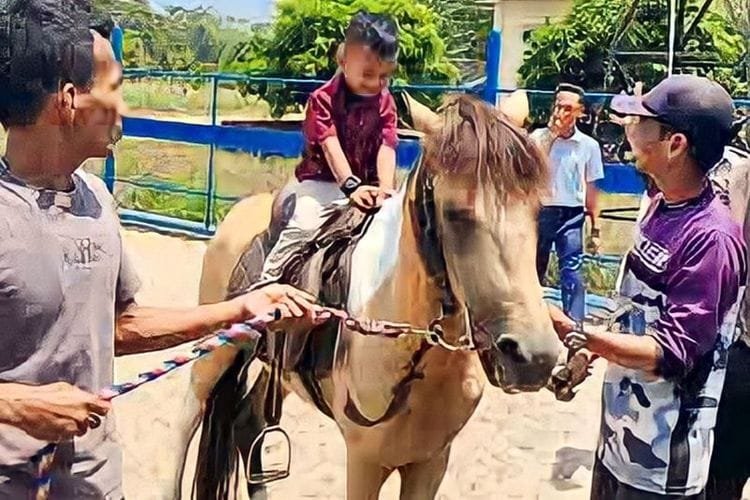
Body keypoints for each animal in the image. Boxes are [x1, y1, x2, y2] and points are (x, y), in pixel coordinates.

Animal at [175, 94, 564, 500]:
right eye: (456, 213)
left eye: (538, 211)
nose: (534, 357)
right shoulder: (364, 462)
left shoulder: (430, 461)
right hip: (216, 352)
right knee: (188, 416)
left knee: (247, 423)